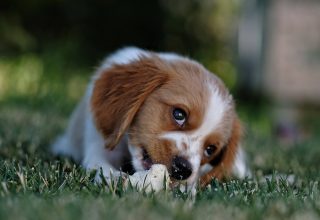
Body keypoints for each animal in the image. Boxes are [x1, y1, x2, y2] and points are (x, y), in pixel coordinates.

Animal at [52, 46, 250, 189]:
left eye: (210, 149)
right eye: (179, 114)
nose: (183, 169)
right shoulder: (98, 145)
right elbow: (100, 165)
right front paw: (115, 178)